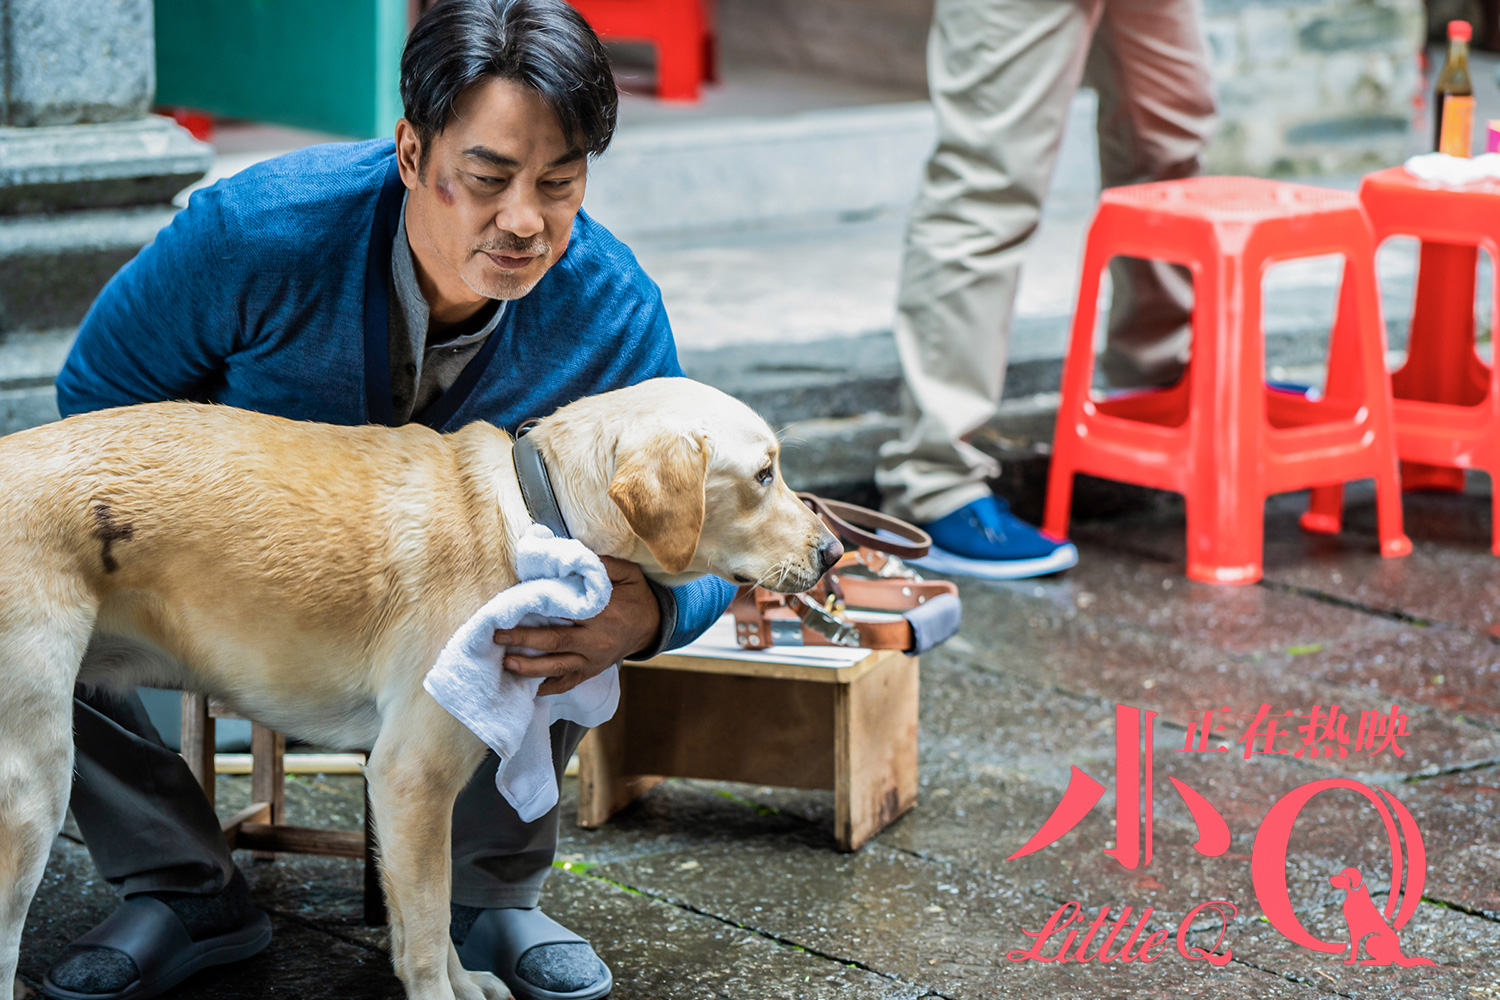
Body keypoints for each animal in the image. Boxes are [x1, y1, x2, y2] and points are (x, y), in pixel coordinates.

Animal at [0, 379, 834, 1000]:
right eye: (765, 474)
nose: (833, 550)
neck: (537, 515)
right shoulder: (412, 777)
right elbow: (429, 931)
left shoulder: (410, 796)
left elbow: (419, 923)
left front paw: (465, 981)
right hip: (35, 782)